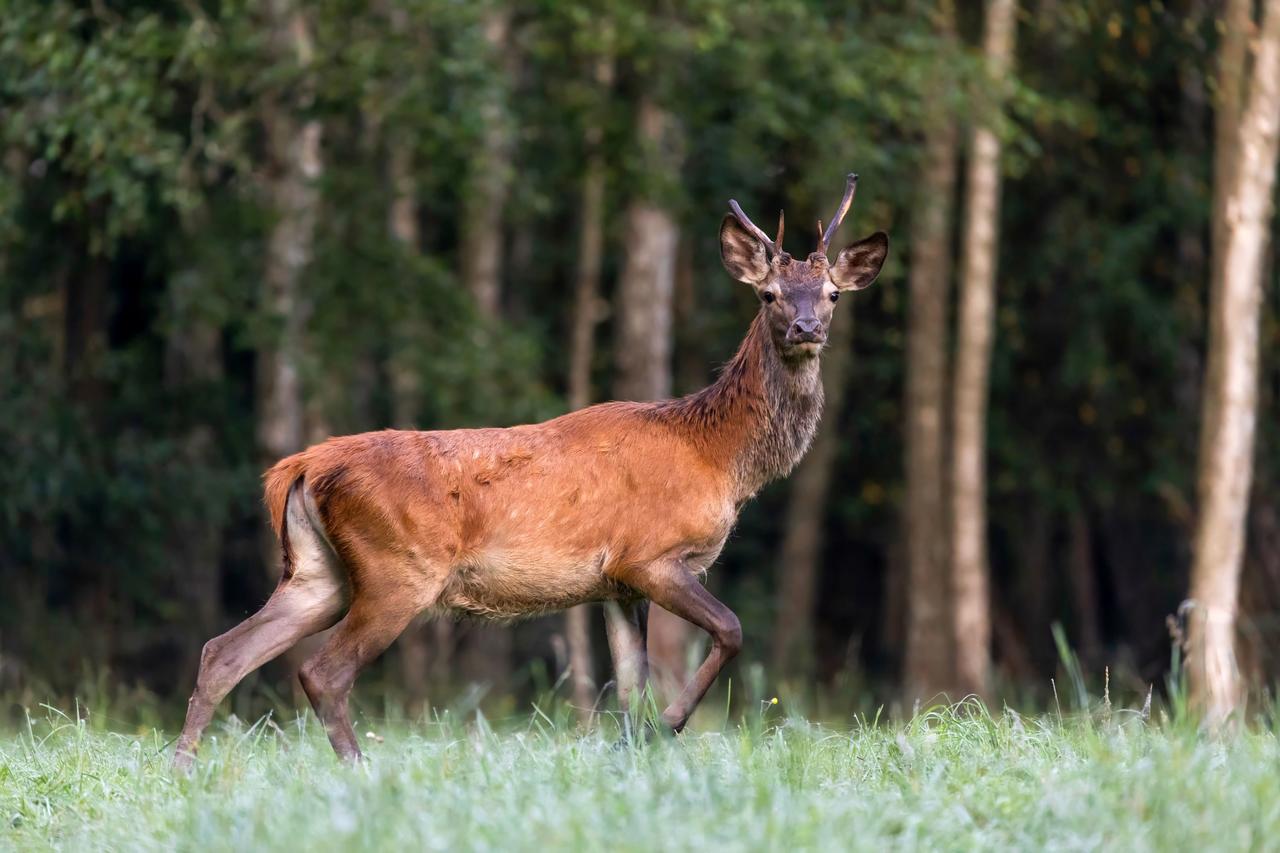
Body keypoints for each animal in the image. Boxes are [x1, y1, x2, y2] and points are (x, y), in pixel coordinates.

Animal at [172, 172, 890, 763]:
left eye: (831, 293)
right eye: (769, 293)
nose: (804, 327)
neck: (718, 458)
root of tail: (302, 463)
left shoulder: (615, 582)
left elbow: (629, 686)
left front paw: (633, 749)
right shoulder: (650, 555)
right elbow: (731, 631)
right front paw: (670, 728)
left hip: (319, 572)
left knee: (222, 650)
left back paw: (184, 766)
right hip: (396, 568)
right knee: (322, 672)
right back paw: (355, 768)